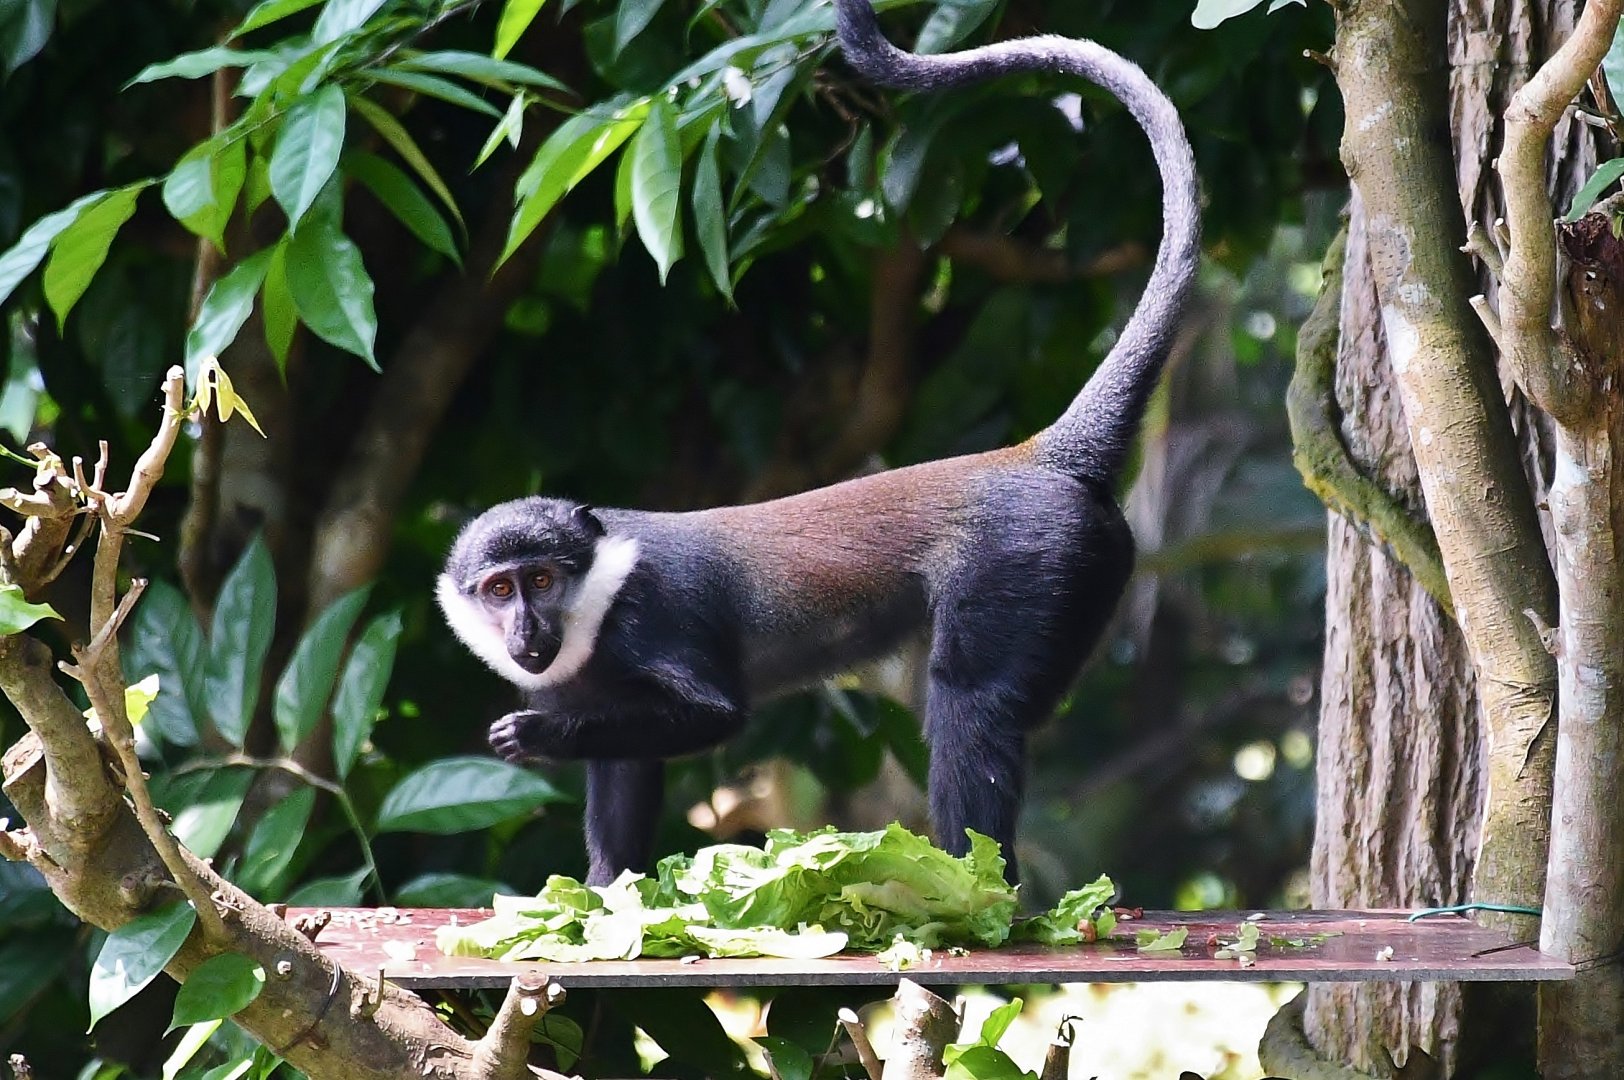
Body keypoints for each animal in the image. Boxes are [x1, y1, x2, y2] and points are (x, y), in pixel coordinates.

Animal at [438, 0, 1200, 887]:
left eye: (541, 578)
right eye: (498, 590)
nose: (526, 629)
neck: (595, 593)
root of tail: (1040, 454)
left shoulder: (651, 616)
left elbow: (710, 715)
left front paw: (534, 739)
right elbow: (623, 775)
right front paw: (602, 892)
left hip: (1030, 565)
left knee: (974, 702)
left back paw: (973, 884)